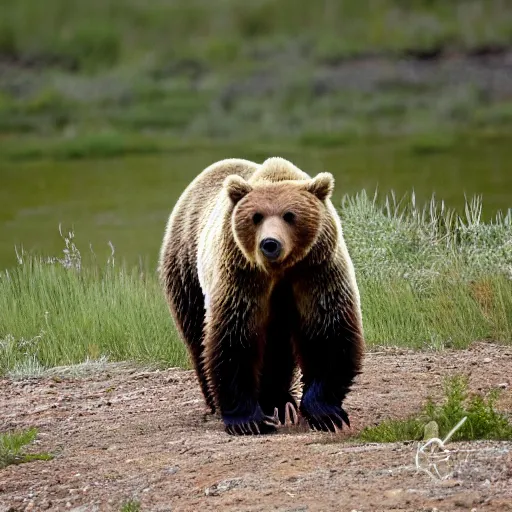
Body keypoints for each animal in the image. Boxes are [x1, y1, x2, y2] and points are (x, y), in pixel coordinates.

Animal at [160, 157, 364, 436]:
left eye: (290, 215)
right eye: (256, 217)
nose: (270, 244)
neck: (280, 271)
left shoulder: (316, 271)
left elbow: (328, 332)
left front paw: (326, 414)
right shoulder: (242, 276)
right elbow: (234, 337)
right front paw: (247, 420)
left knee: (278, 348)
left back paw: (281, 404)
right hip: (187, 266)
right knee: (196, 335)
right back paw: (222, 402)